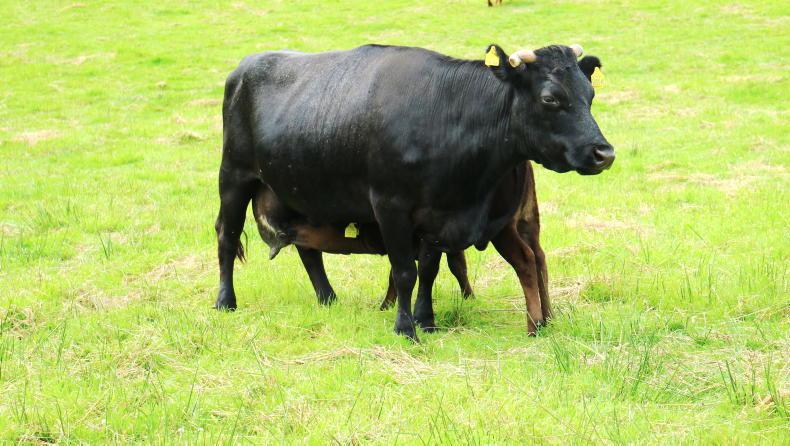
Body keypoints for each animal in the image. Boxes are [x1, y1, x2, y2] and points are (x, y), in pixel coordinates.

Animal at [215, 43, 614, 340]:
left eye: (590, 94)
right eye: (550, 98)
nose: (604, 153)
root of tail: (245, 66)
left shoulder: (437, 217)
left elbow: (430, 269)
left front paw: (426, 319)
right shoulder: (390, 207)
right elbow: (405, 270)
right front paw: (406, 328)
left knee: (308, 249)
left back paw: (328, 299)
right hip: (234, 176)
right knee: (226, 236)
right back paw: (225, 301)